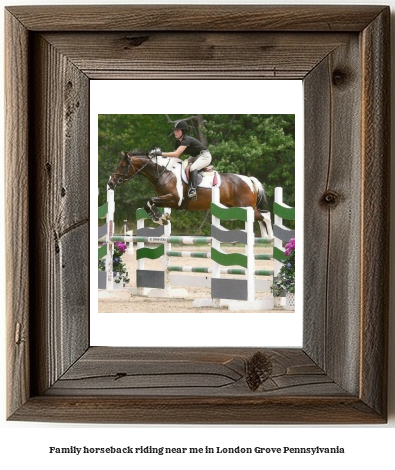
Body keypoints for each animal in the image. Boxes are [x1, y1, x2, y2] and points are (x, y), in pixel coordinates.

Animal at [108, 151, 276, 239]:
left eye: (122, 166)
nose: (110, 183)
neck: (163, 173)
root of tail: (249, 180)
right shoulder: (166, 200)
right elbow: (149, 203)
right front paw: (161, 218)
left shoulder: (174, 200)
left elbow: (149, 201)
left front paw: (160, 218)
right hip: (238, 207)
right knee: (261, 217)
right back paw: (265, 237)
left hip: (246, 207)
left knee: (265, 216)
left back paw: (270, 238)